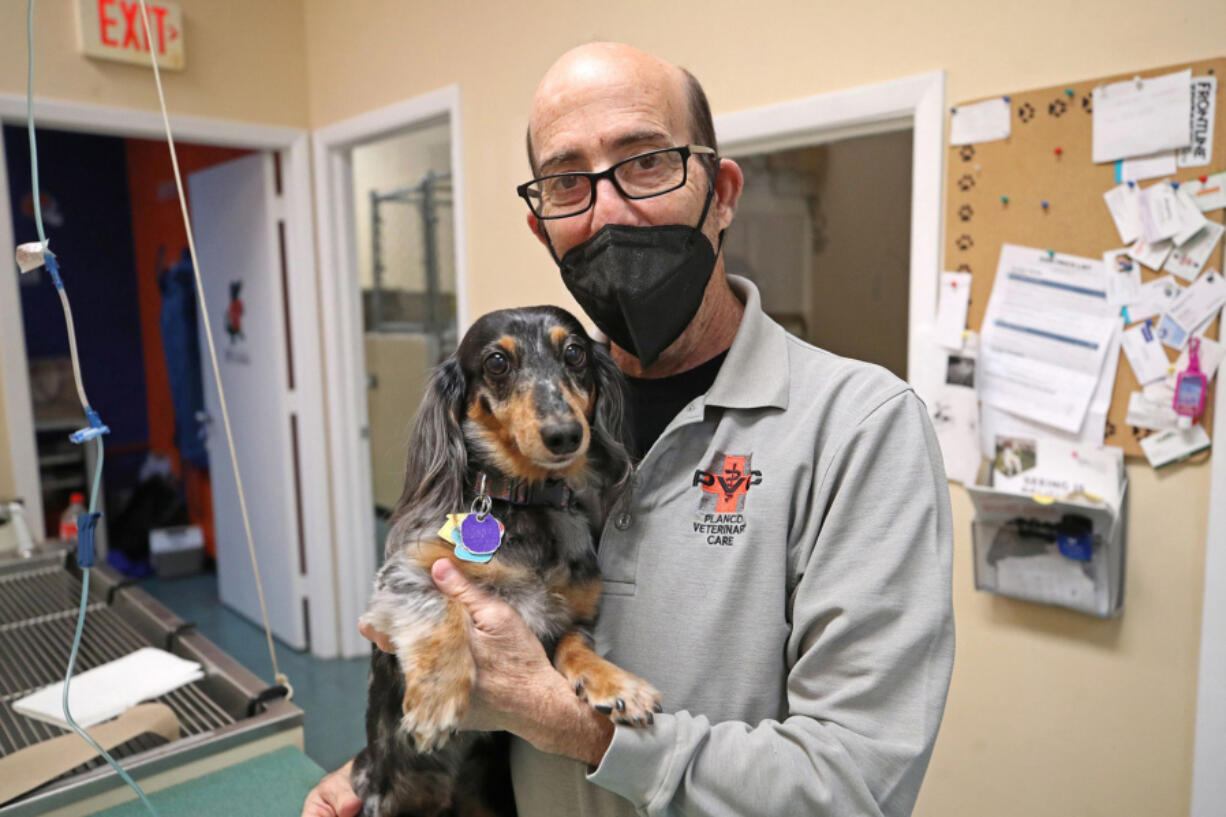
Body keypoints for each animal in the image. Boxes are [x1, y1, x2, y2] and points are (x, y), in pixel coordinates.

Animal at [355, 306, 662, 814]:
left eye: (575, 353)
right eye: (497, 362)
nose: (565, 434)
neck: (529, 502)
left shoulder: (572, 614)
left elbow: (578, 646)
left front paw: (617, 685)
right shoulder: (404, 575)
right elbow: (442, 608)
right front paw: (437, 699)